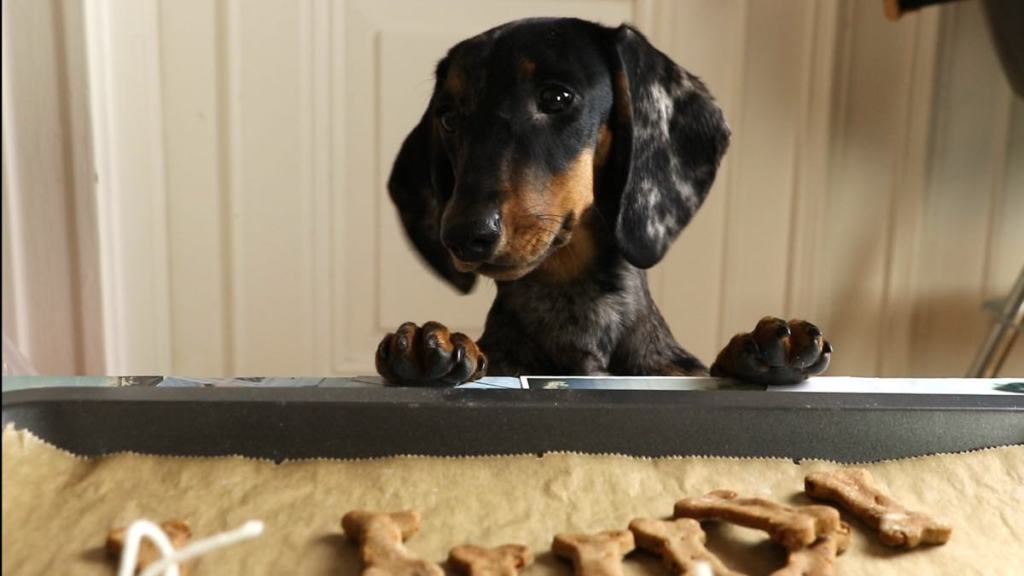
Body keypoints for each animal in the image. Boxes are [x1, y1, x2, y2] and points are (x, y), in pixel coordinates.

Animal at [374, 17, 831, 383]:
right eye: (449, 117)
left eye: (556, 97)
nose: (465, 235)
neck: (575, 305)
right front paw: (431, 342)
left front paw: (757, 348)